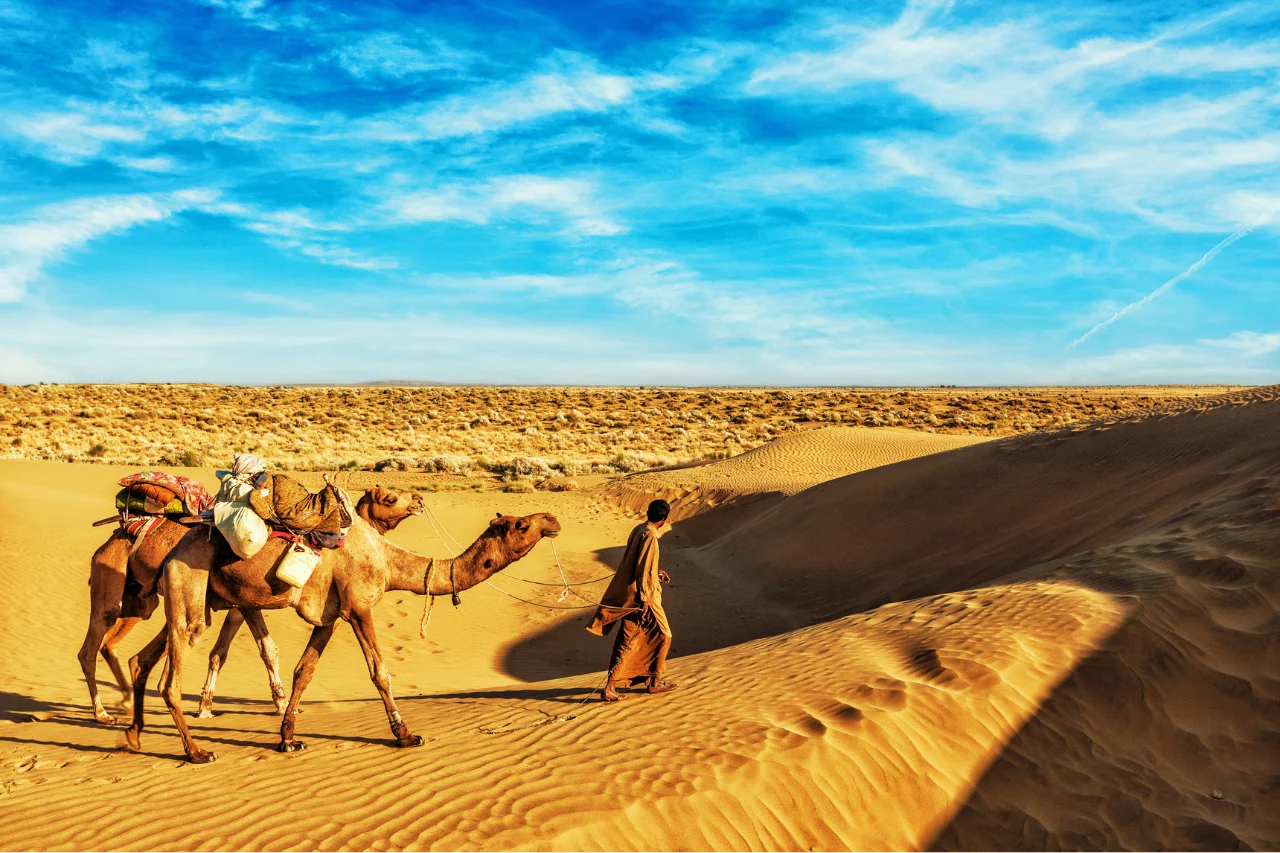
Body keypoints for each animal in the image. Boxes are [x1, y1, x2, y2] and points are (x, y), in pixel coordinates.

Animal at [78, 486, 425, 725]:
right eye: (390, 498)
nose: (419, 499)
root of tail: (112, 537)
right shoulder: (242, 603)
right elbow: (242, 651)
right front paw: (274, 704)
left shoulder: (240, 604)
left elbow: (238, 650)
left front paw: (211, 705)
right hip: (115, 585)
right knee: (94, 645)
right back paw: (103, 712)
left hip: (141, 601)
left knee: (131, 649)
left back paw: (125, 700)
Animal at [125, 508, 560, 763]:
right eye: (523, 524)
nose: (553, 519)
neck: (387, 559)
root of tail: (169, 550)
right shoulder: (359, 607)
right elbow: (379, 672)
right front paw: (405, 735)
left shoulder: (329, 618)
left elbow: (304, 671)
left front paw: (288, 739)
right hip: (190, 586)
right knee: (171, 678)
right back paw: (197, 751)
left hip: (194, 597)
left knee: (142, 658)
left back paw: (133, 735)